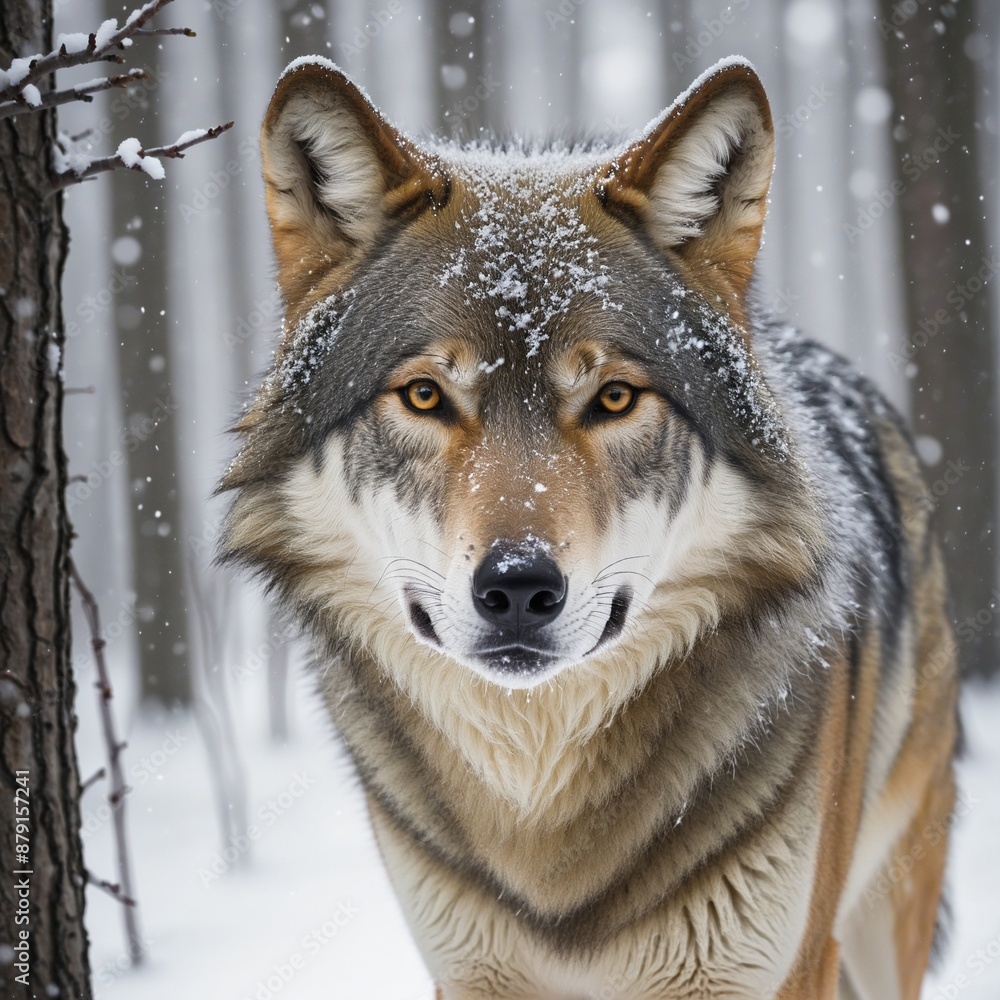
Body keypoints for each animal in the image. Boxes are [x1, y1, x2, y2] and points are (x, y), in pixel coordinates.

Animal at [219, 55, 960, 999]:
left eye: (612, 398)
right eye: (424, 395)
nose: (518, 589)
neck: (541, 814)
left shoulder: (783, 967)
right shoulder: (469, 973)